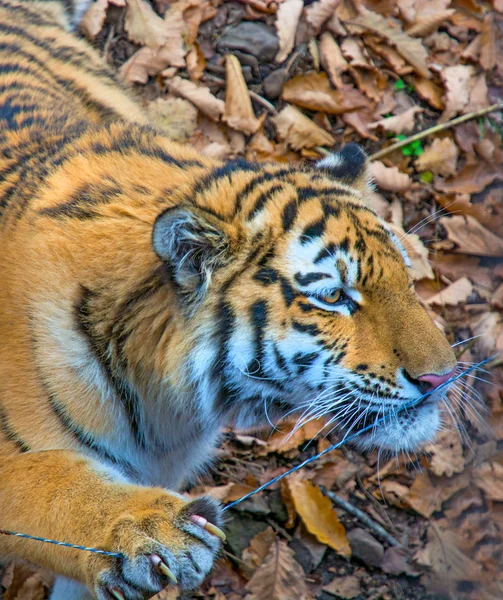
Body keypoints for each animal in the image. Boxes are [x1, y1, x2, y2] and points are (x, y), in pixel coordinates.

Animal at [0, 1, 456, 600]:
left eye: (406, 278)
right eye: (334, 296)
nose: (444, 377)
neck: (161, 409)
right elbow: (48, 480)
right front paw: (151, 529)